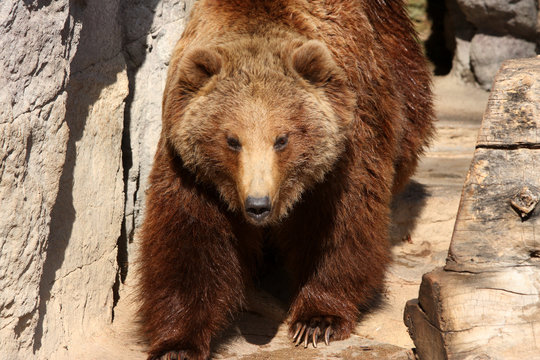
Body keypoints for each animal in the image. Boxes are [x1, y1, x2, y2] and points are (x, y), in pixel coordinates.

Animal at [138, 1, 434, 358]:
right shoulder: (192, 169)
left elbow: (339, 227)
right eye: (232, 140)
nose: (258, 205)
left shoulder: (345, 149)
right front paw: (177, 344)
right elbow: (189, 241)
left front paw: (317, 320)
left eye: (282, 139)